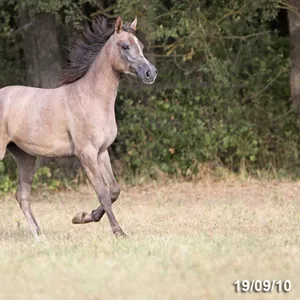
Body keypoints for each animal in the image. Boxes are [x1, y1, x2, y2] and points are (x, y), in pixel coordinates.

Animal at [0, 15, 158, 239]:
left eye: (141, 45)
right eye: (125, 46)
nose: (150, 73)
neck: (91, 98)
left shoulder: (102, 152)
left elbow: (114, 190)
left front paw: (82, 217)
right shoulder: (86, 154)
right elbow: (102, 193)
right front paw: (117, 232)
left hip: (26, 156)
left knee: (22, 195)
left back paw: (39, 236)